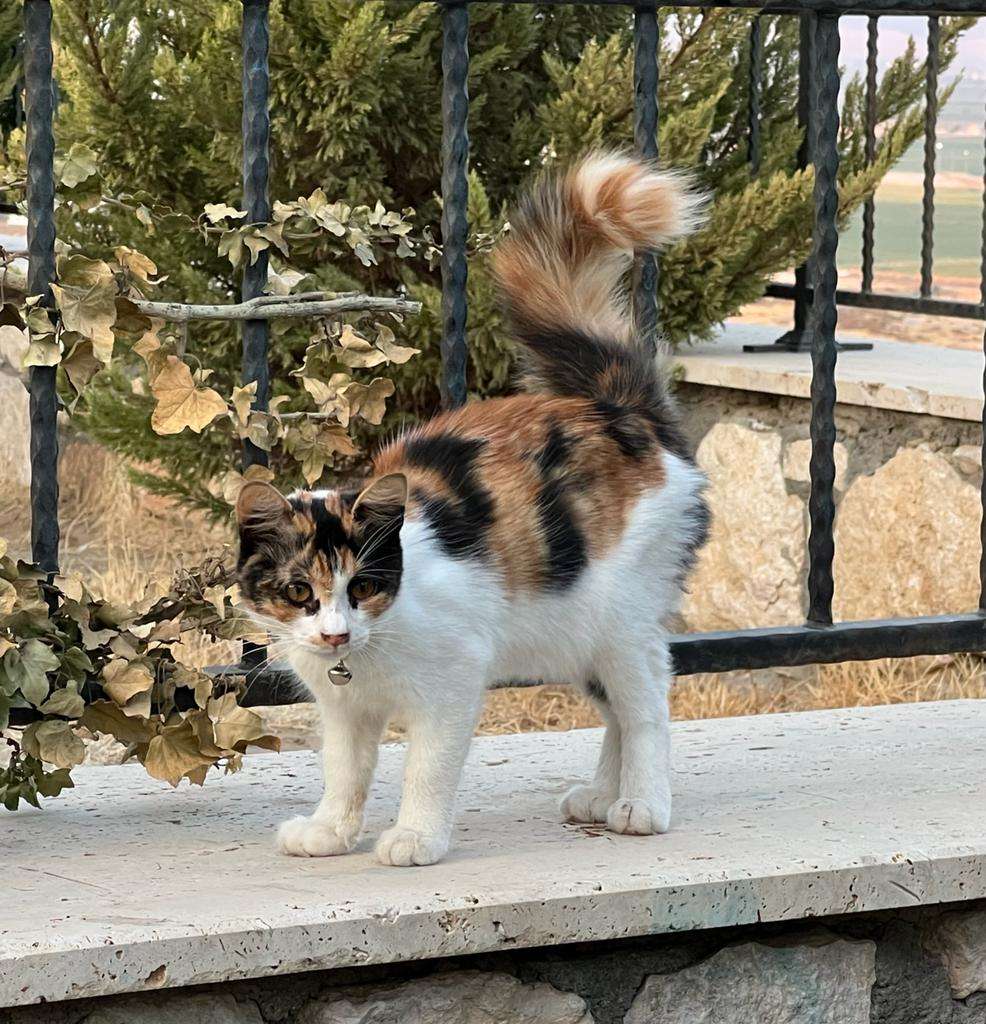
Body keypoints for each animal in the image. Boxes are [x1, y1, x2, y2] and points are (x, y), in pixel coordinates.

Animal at [235, 151, 709, 867]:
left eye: (363, 586)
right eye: (297, 592)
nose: (335, 635)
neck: (370, 650)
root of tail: (619, 408)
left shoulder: (454, 683)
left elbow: (427, 769)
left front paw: (415, 837)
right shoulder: (343, 709)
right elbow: (345, 770)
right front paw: (331, 830)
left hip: (619, 616)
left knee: (646, 703)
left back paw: (642, 805)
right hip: (574, 629)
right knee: (617, 712)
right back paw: (602, 795)